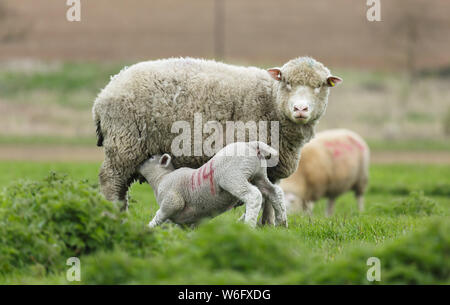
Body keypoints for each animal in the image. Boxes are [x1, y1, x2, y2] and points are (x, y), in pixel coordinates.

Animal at [138, 141, 284, 227]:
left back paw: (248, 226)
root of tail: (252, 145)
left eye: (151, 158)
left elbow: (160, 215)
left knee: (253, 196)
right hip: (259, 175)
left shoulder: (172, 200)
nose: (139, 163)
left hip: (233, 177)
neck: (161, 178)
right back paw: (282, 222)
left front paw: (149, 228)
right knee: (274, 192)